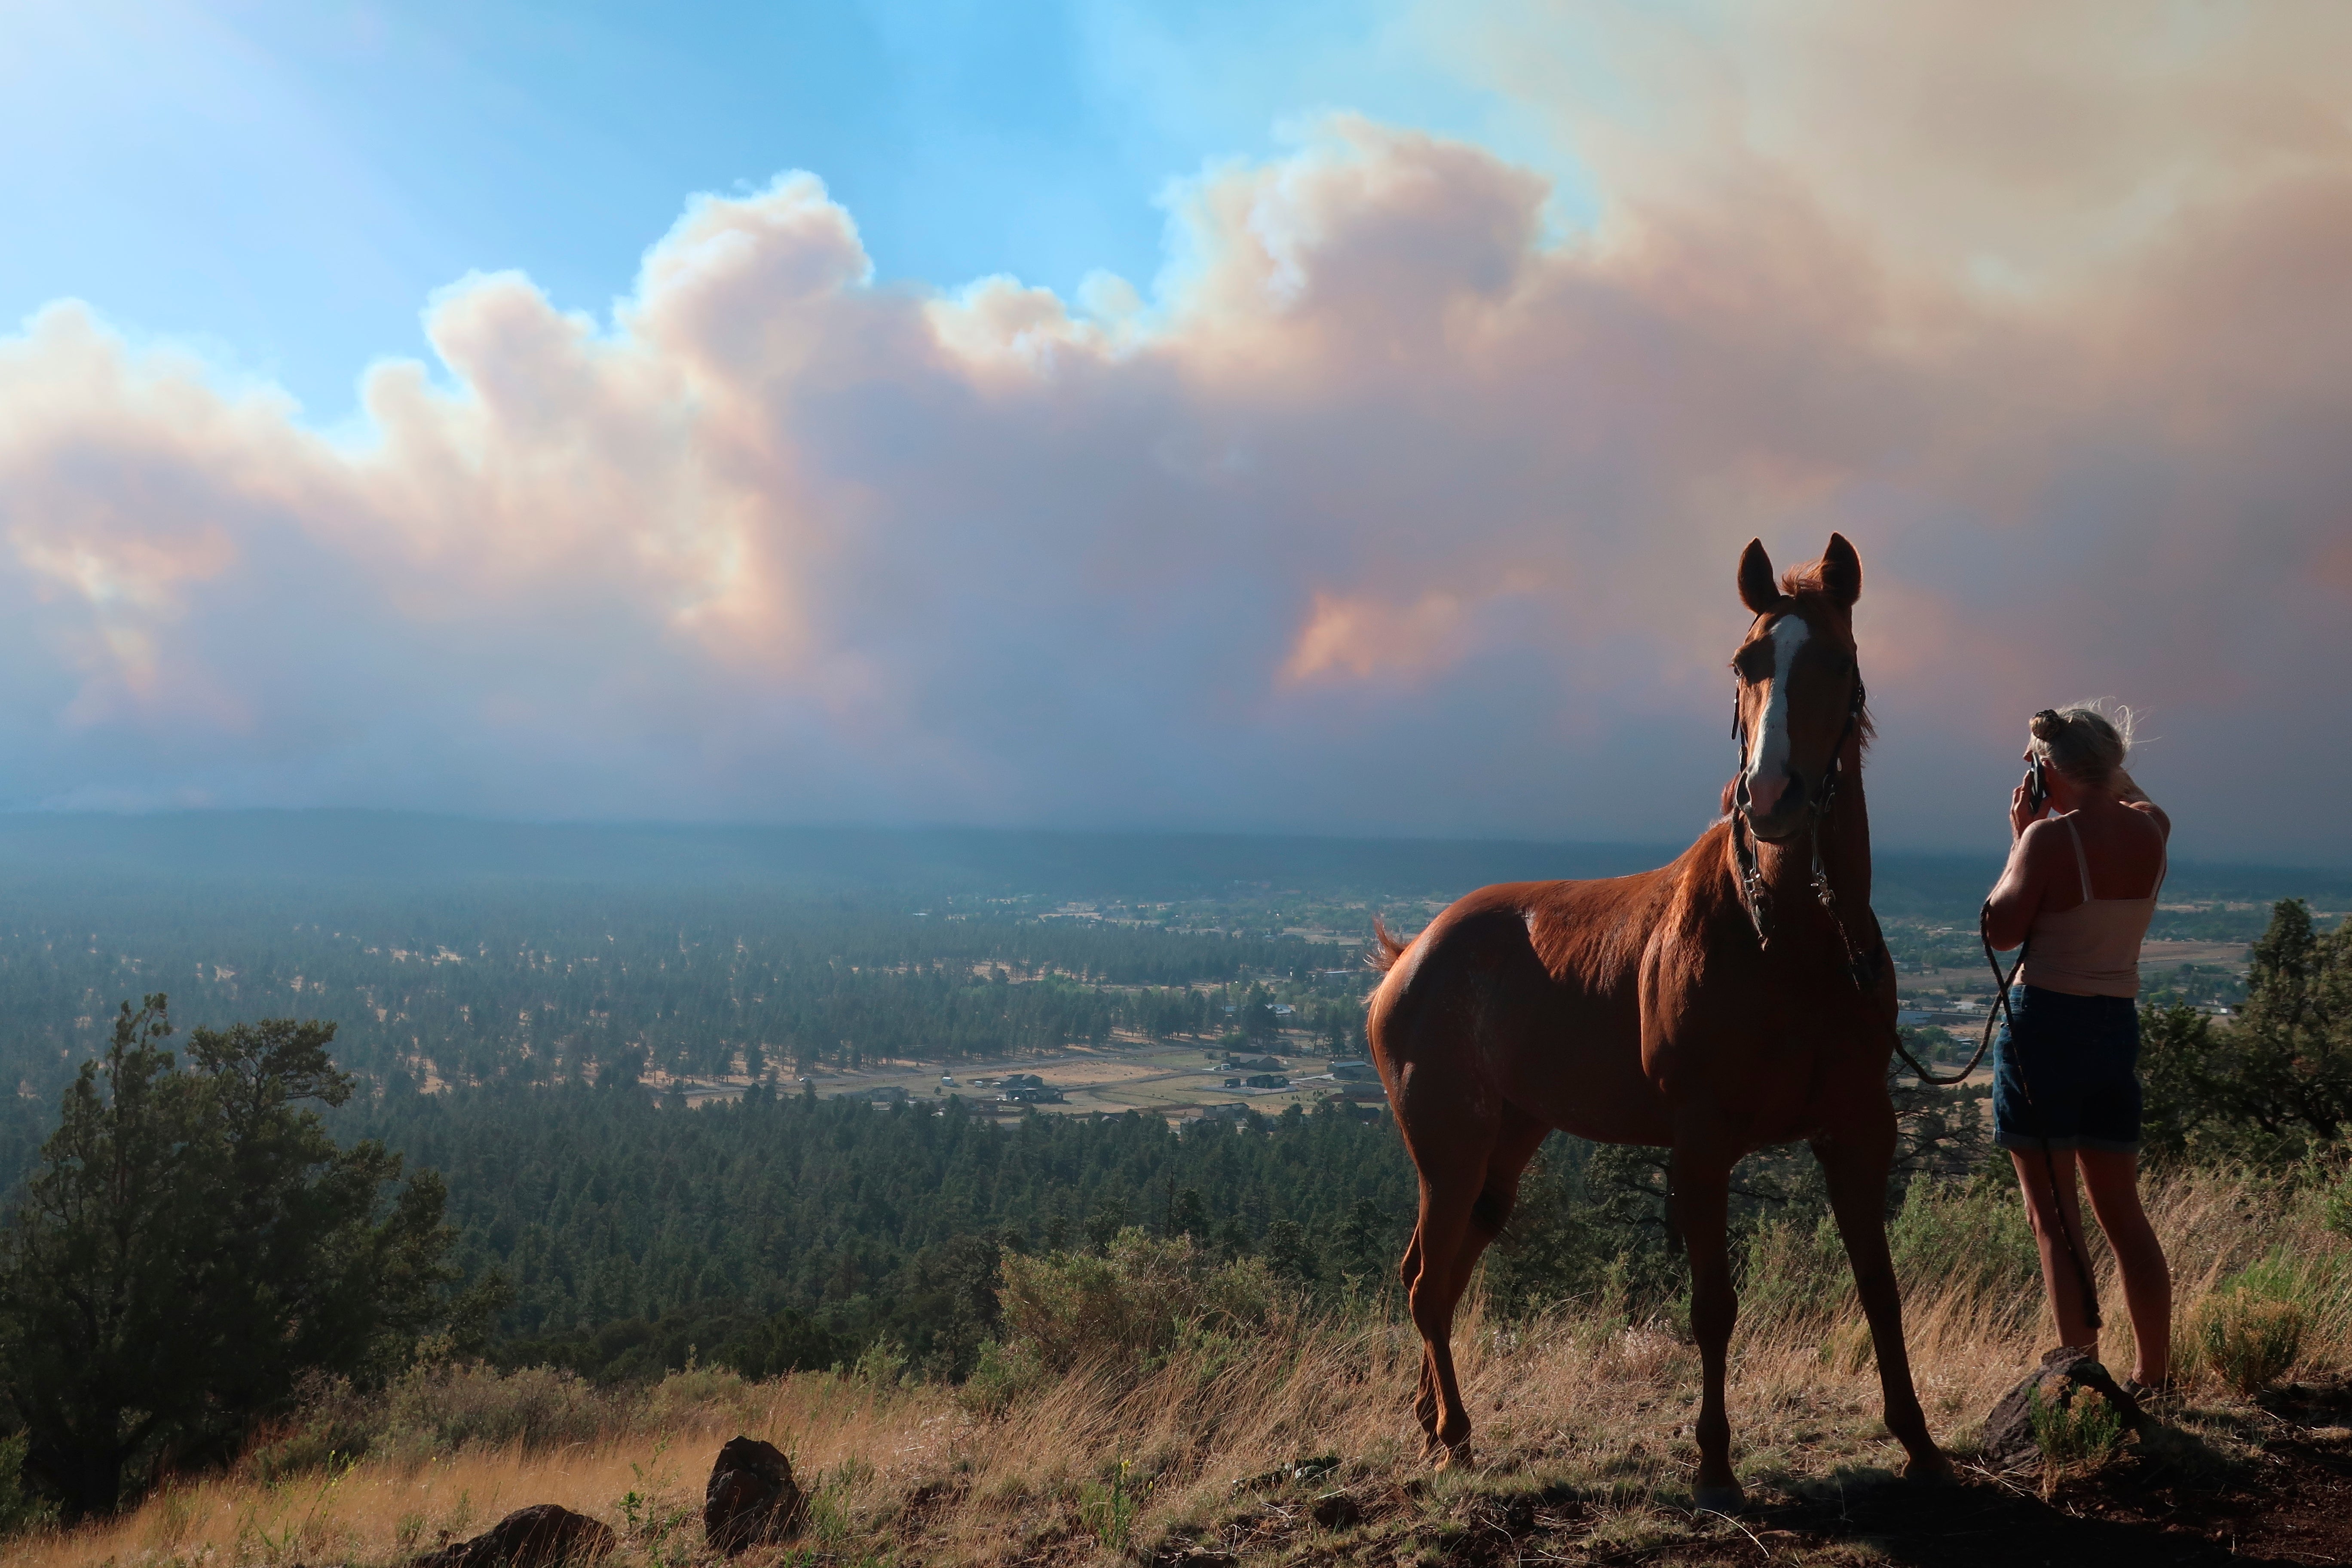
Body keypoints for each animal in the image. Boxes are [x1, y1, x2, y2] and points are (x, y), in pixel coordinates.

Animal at [1373, 533, 1957, 1514]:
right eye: (1745, 663)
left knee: (1442, 1273)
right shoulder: (1701, 1144)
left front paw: (1919, 1443)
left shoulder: (1858, 1129)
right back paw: (1453, 1432)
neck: (1787, 939)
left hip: (1505, 1147)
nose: (1772, 796)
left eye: (1838, 663)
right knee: (1425, 1284)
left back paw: (1430, 1422)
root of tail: (1408, 957)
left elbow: (1880, 1288)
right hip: (1449, 1150)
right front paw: (1715, 1465)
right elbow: (1713, 1306)